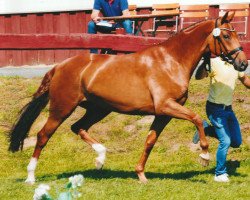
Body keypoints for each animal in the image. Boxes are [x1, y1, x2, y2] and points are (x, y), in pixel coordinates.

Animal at [8, 11, 248, 184]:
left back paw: (100, 158)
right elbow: (197, 118)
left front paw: (140, 174)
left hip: (98, 109)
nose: (243, 63)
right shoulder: (166, 106)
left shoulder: (163, 114)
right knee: (42, 136)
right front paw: (204, 156)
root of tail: (59, 66)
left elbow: (150, 141)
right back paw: (31, 177)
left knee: (78, 127)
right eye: (226, 35)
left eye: (236, 34)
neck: (171, 61)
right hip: (61, 108)